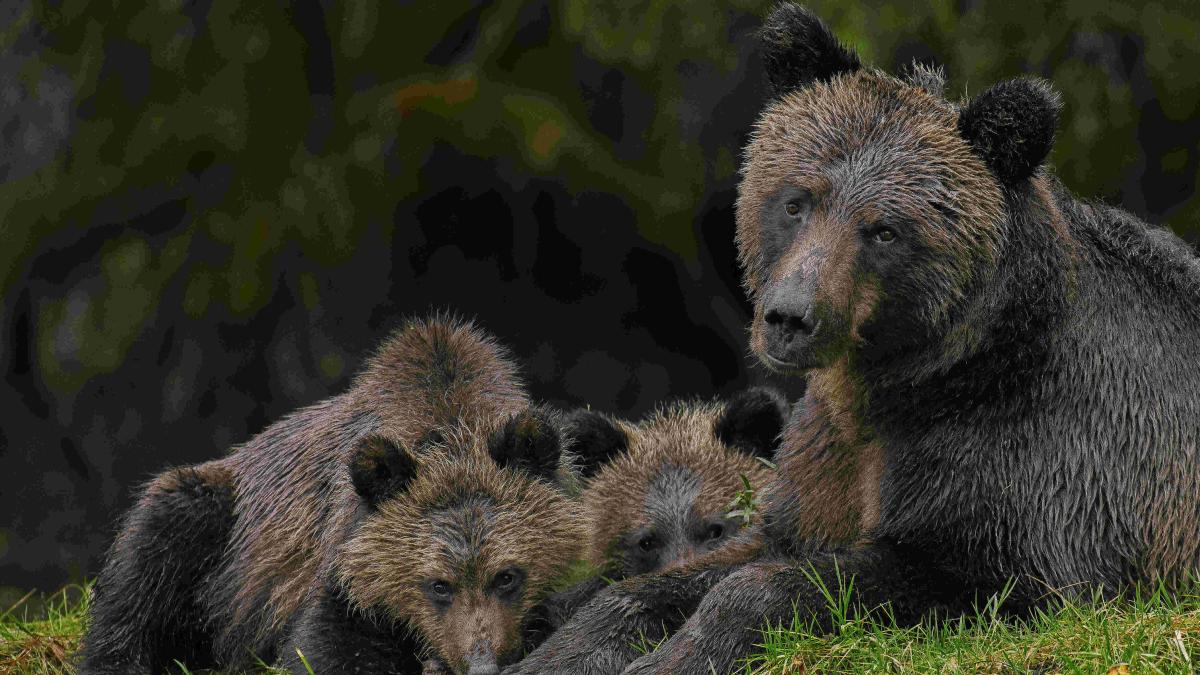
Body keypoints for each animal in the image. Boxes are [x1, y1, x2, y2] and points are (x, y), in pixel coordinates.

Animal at [506, 5, 1200, 672]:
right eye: (797, 201)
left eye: (886, 230)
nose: (790, 317)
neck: (903, 379)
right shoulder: (824, 455)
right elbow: (712, 562)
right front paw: (559, 650)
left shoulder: (1037, 466)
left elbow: (953, 572)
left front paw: (674, 656)